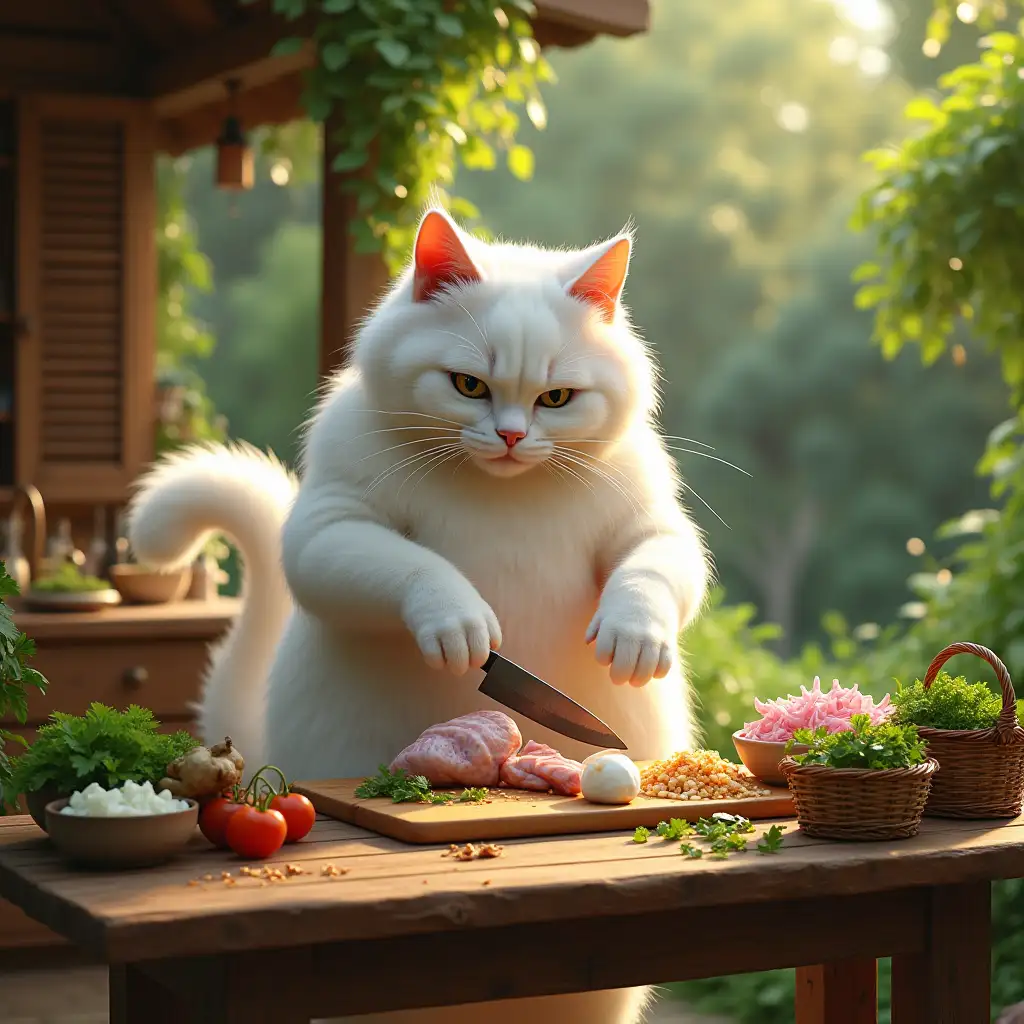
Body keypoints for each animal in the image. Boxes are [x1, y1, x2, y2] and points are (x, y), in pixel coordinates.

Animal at [128, 209, 708, 1024]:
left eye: (557, 398)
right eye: (469, 385)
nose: (511, 437)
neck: (502, 490)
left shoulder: (650, 519)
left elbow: (660, 563)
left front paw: (633, 636)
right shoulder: (332, 526)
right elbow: (409, 568)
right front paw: (459, 625)